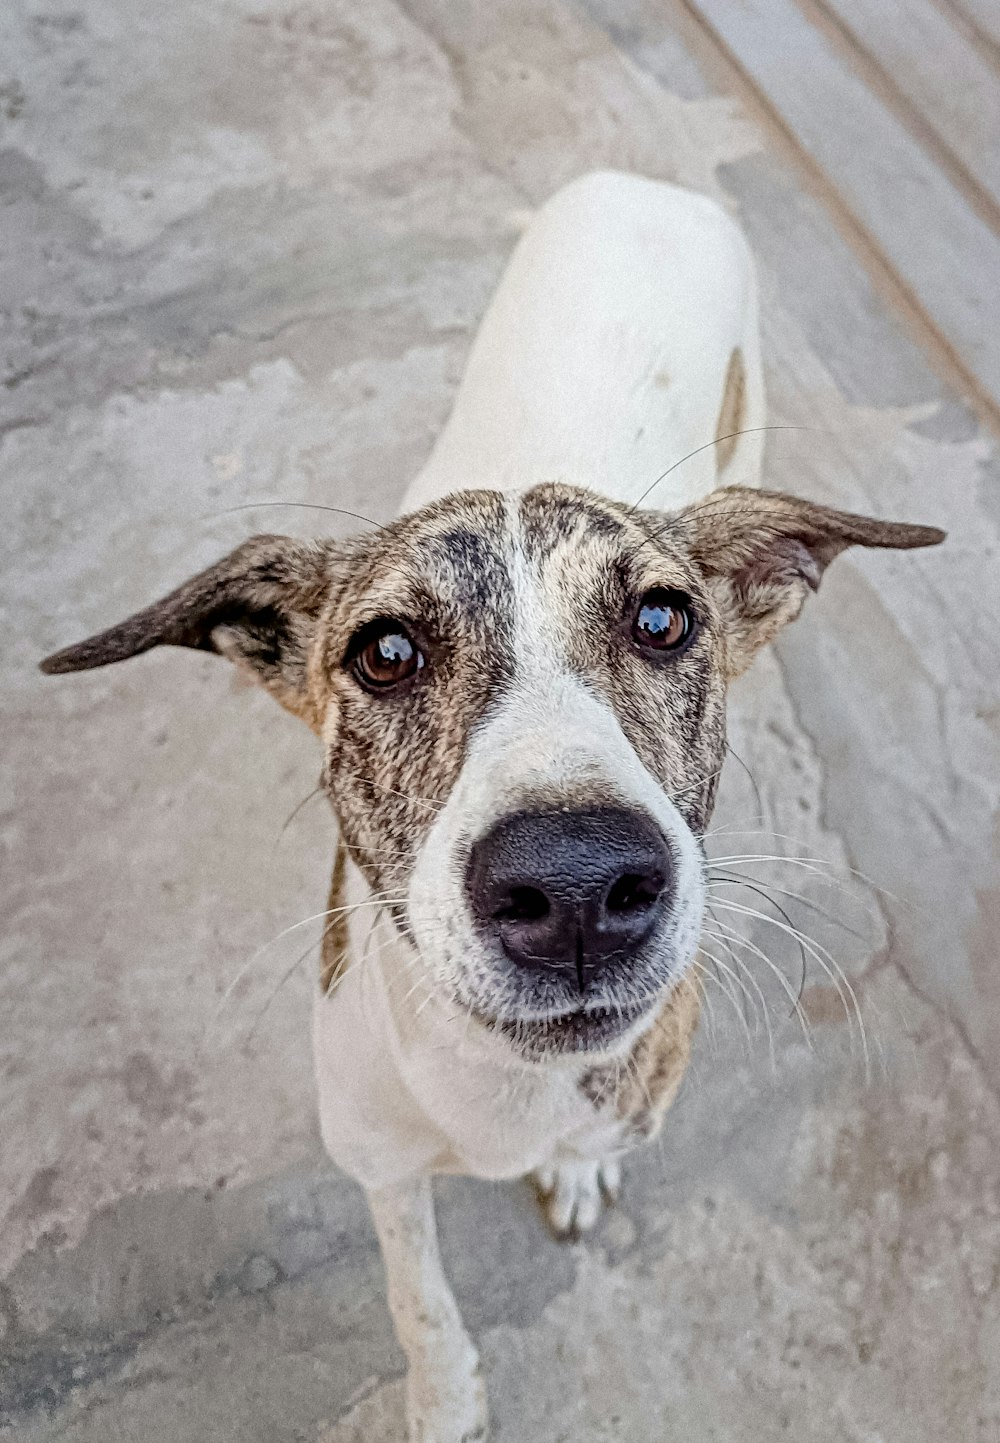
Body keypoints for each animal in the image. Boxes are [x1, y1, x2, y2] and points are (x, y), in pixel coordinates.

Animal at [40, 174, 946, 1437]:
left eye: (663, 619)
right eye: (383, 652)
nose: (576, 886)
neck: (499, 1087)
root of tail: (642, 180)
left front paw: (572, 1170)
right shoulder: (376, 1160)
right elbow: (417, 1295)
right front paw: (446, 1397)